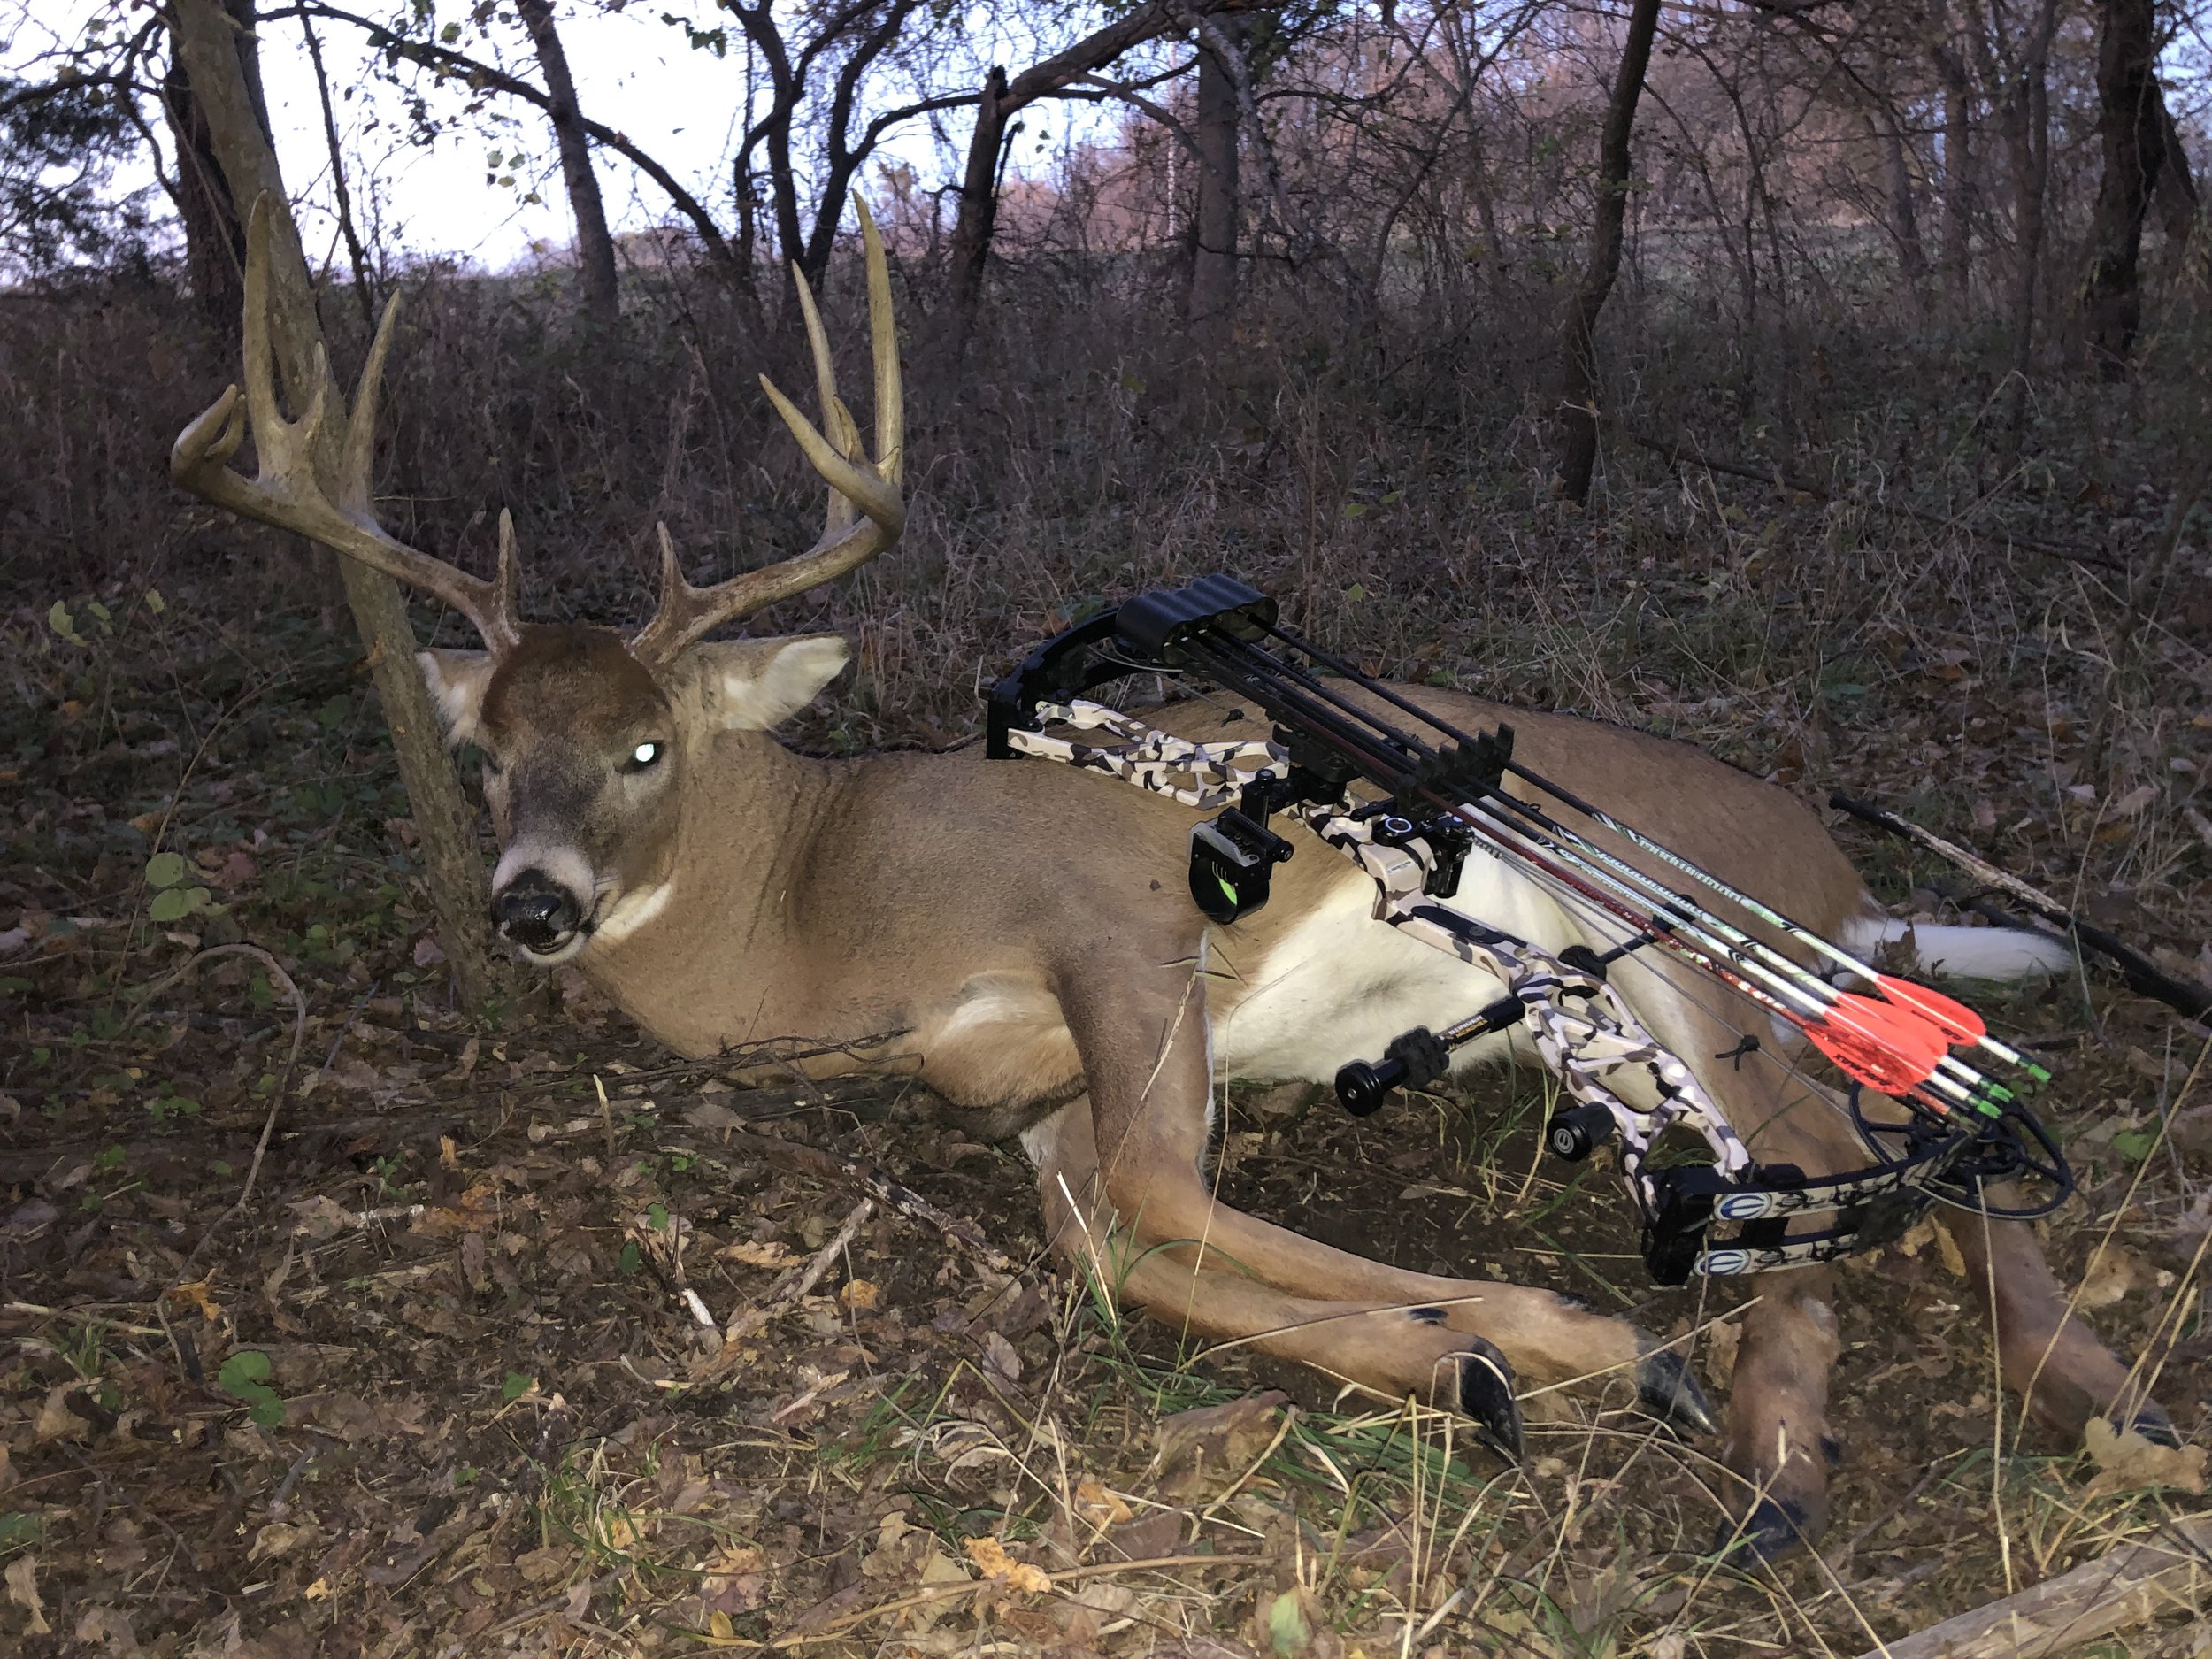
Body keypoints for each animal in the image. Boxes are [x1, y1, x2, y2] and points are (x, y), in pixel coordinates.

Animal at [173, 198, 2173, 1560]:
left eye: (651, 744)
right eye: (487, 750)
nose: (532, 903)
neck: (824, 916)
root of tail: (1835, 874)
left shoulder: (1118, 927)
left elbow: (1158, 1190)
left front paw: (1559, 1341)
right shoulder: (1019, 1082)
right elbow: (1108, 1241)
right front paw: (1463, 1362)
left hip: (1682, 958)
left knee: (1899, 1172)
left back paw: (2035, 1421)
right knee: (1861, 1186)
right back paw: (1810, 1458)